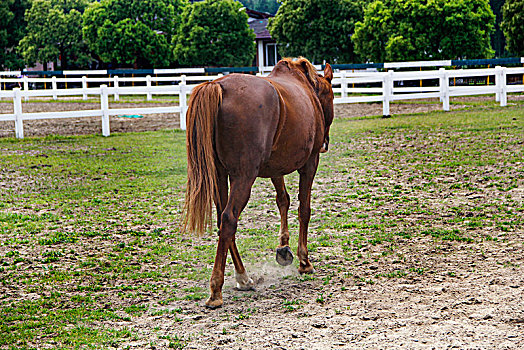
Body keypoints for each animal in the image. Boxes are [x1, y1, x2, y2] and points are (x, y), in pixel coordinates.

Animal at [182, 57, 334, 308]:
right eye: (331, 96)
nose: (325, 144)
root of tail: (218, 86)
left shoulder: (276, 168)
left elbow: (283, 201)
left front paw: (284, 248)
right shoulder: (311, 163)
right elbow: (304, 209)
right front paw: (304, 260)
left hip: (220, 176)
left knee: (222, 220)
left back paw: (243, 278)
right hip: (244, 177)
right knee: (229, 219)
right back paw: (217, 290)